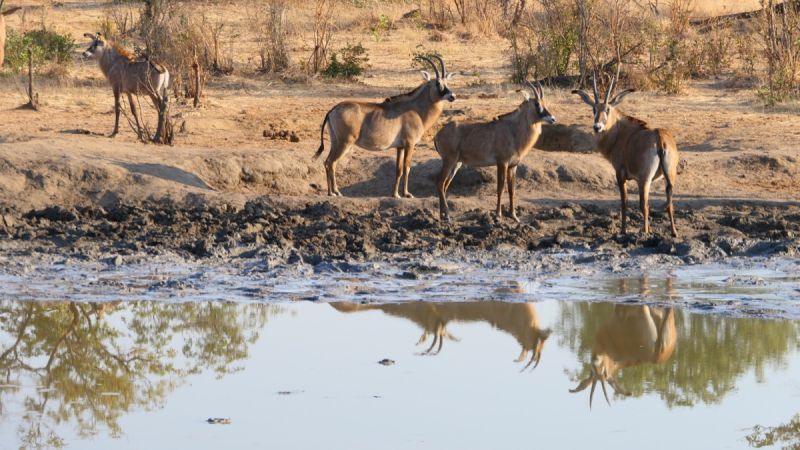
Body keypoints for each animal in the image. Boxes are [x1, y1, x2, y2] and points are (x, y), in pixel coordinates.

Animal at [318, 55, 460, 199]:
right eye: (437, 83)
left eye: (447, 83)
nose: (452, 96)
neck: (415, 110)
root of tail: (333, 109)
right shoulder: (410, 144)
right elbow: (407, 167)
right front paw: (406, 193)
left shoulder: (400, 147)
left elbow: (398, 169)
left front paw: (395, 194)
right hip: (345, 142)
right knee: (332, 163)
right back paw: (336, 192)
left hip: (335, 142)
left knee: (327, 162)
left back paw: (330, 192)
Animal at [432, 81, 556, 222]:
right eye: (536, 104)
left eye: (544, 102)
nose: (552, 119)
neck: (513, 130)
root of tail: (437, 135)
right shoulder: (502, 163)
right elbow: (500, 188)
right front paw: (498, 215)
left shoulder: (513, 165)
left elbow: (512, 189)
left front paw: (514, 216)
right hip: (449, 161)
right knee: (440, 182)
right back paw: (446, 215)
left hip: (456, 164)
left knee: (444, 185)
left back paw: (442, 215)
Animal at [572, 73, 680, 236]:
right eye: (593, 109)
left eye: (608, 109)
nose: (597, 127)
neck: (619, 131)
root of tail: (659, 138)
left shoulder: (621, 175)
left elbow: (624, 202)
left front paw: (623, 230)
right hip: (669, 178)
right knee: (669, 204)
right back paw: (673, 233)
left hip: (644, 179)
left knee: (644, 205)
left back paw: (645, 233)